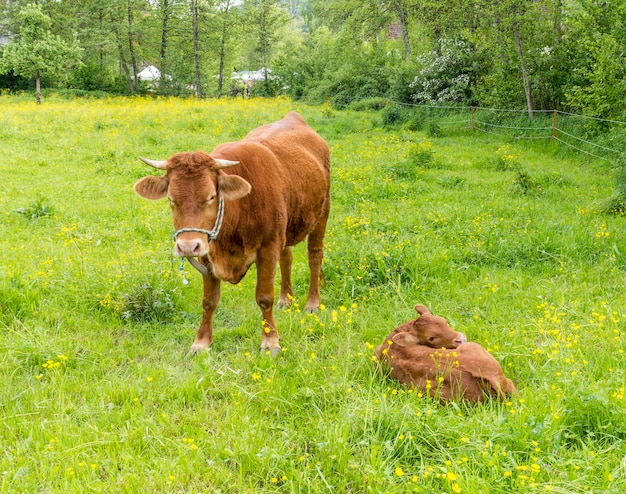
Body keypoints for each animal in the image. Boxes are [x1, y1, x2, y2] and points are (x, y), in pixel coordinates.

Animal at [133, 112, 330, 356]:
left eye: (211, 196)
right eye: (171, 199)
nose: (187, 246)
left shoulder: (268, 247)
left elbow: (264, 297)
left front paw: (270, 340)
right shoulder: (206, 253)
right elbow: (209, 301)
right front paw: (202, 341)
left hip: (322, 213)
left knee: (315, 256)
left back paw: (312, 303)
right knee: (287, 257)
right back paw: (286, 298)